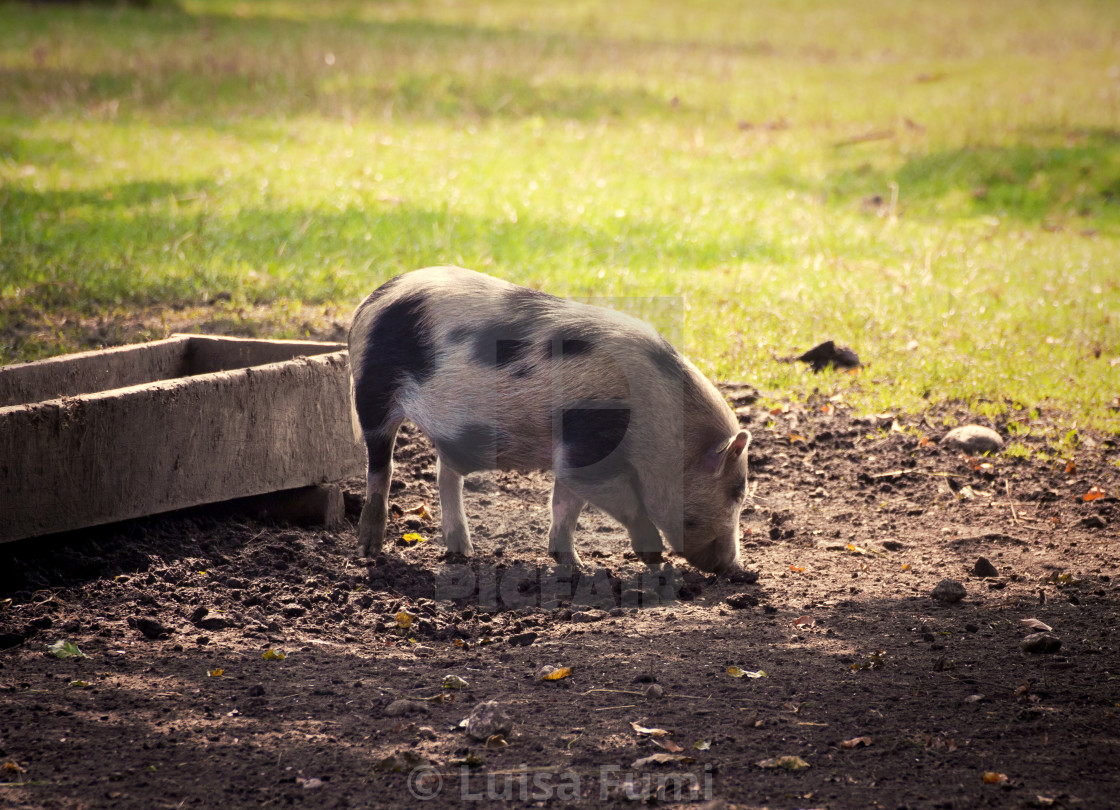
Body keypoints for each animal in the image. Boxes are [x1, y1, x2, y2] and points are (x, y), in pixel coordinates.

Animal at [349, 266, 752, 571]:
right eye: (737, 490)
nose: (736, 567)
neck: (661, 431)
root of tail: (372, 299)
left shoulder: (572, 453)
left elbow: (566, 504)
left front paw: (573, 564)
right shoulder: (588, 445)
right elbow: (618, 501)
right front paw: (654, 559)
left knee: (444, 471)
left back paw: (462, 551)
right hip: (372, 391)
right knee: (381, 466)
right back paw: (369, 550)